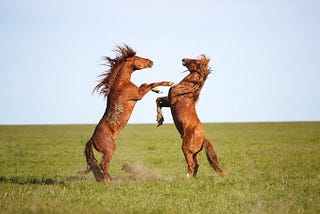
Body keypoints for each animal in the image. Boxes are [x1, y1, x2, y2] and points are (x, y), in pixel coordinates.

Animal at [82, 45, 172, 182]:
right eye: (138, 58)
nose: (151, 62)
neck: (121, 83)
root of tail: (92, 139)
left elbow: (147, 84)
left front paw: (157, 90)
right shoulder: (139, 94)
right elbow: (150, 83)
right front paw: (168, 83)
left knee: (102, 165)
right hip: (110, 149)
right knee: (103, 164)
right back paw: (109, 181)